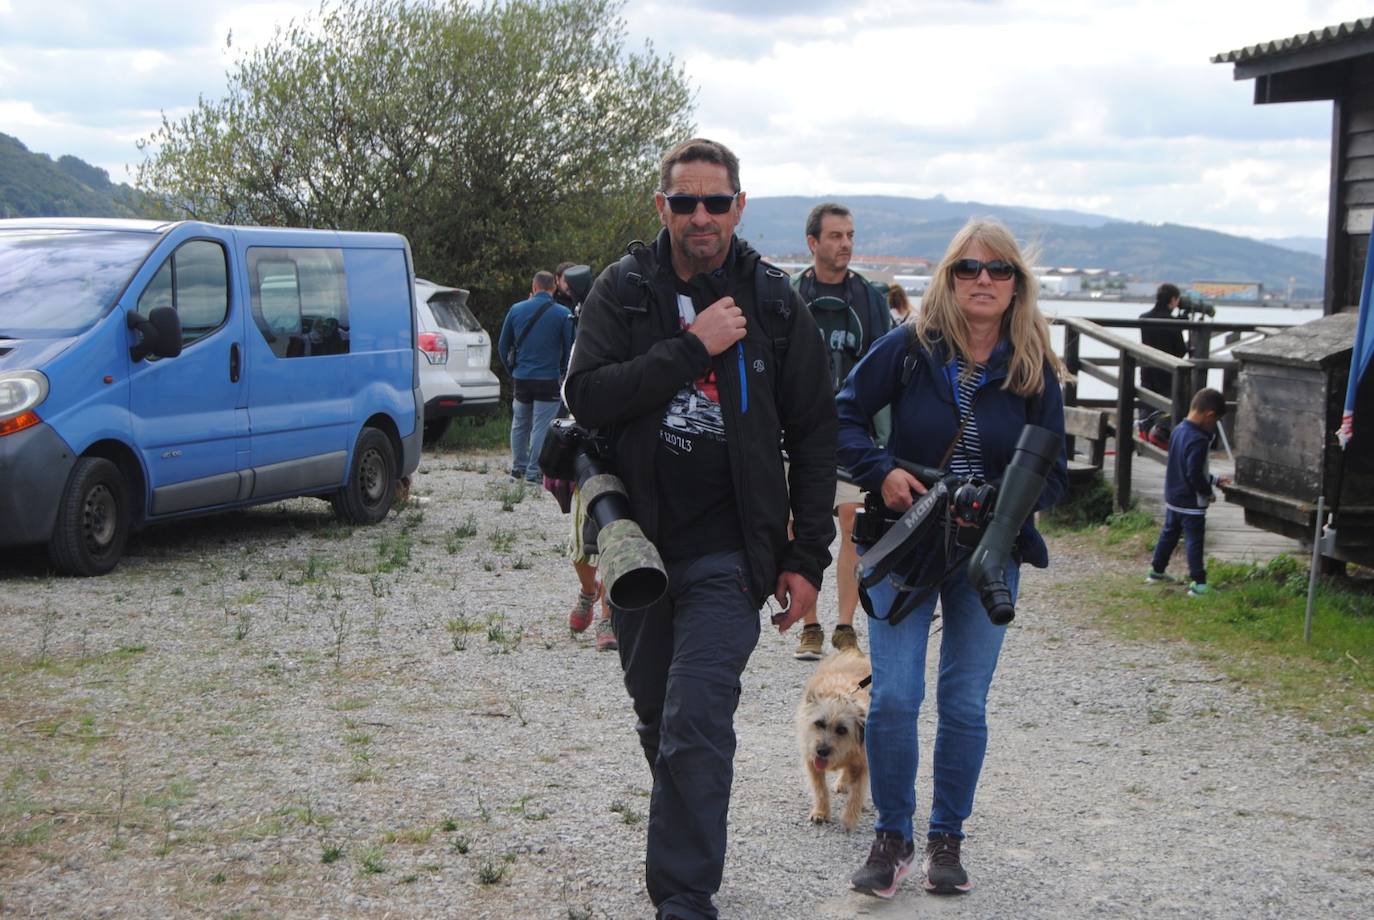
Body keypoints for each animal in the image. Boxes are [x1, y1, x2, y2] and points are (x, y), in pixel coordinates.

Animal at [796, 648, 868, 834]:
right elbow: (820, 789)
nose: (821, 751)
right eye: (819, 723)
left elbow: (857, 792)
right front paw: (821, 812)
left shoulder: (863, 763)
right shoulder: (812, 761)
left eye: (842, 730)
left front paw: (850, 818)